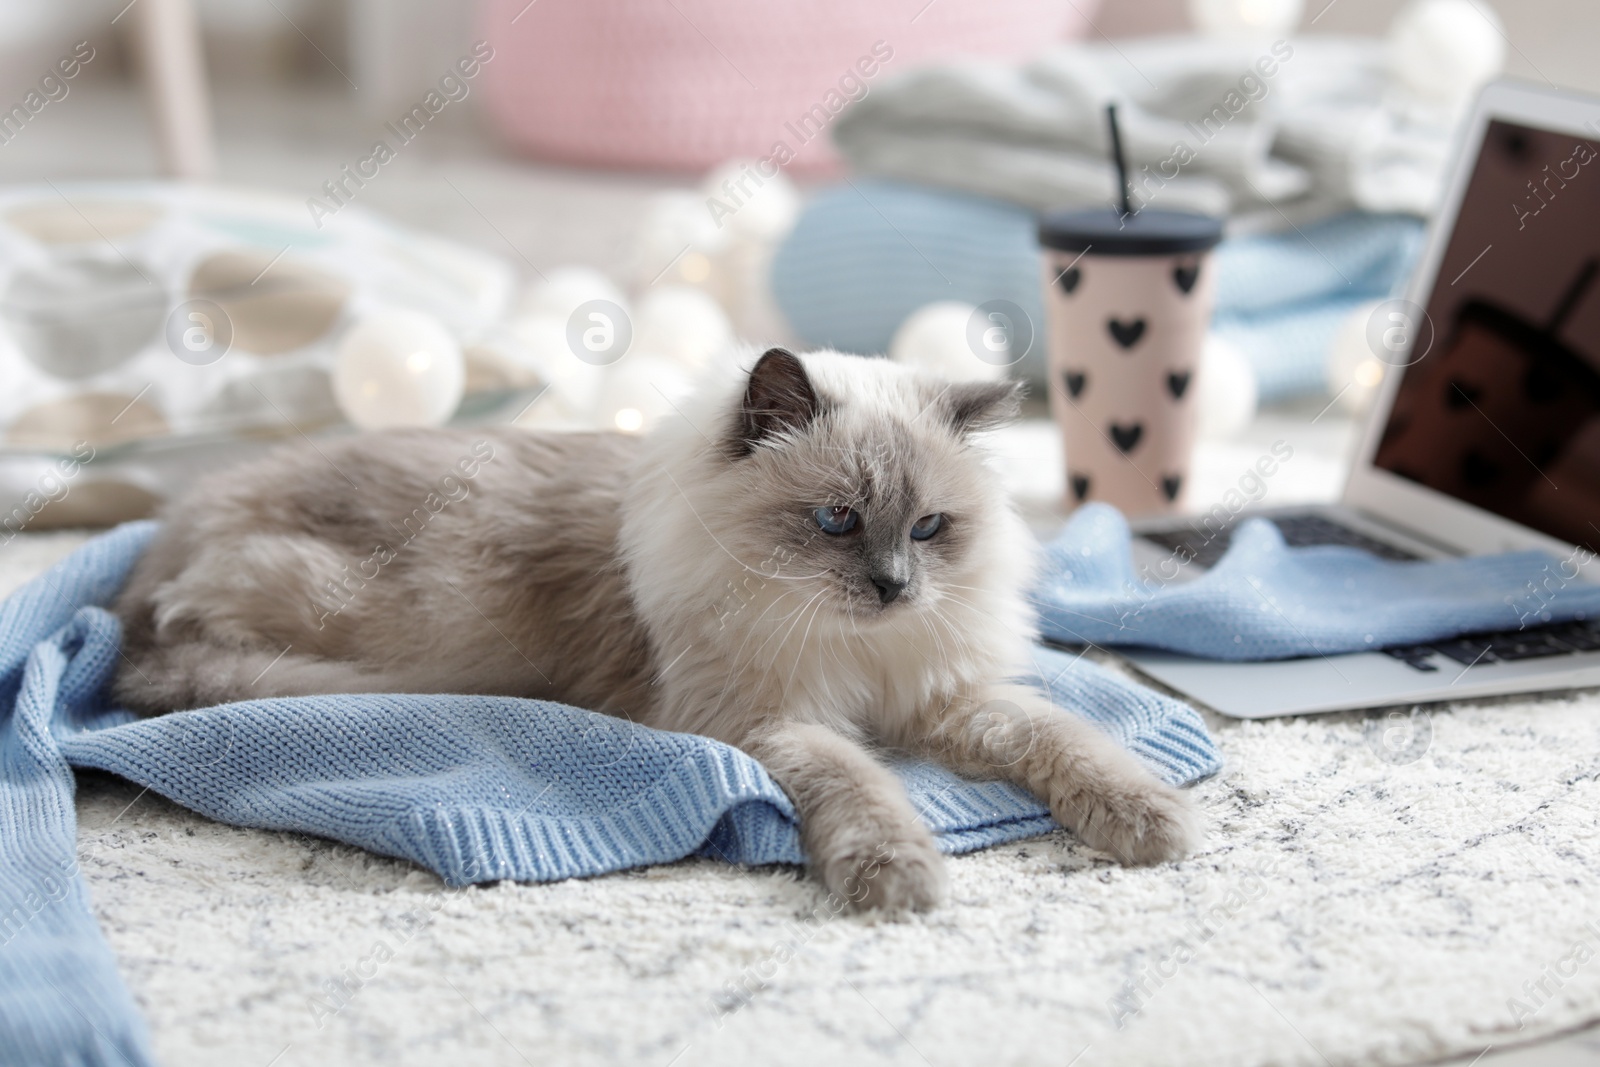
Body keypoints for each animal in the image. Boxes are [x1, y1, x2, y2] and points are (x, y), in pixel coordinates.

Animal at [116, 348, 1203, 908]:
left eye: (929, 527)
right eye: (836, 520)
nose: (896, 588)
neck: (847, 645)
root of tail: (166, 539)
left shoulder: (945, 696)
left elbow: (1063, 739)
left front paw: (1150, 825)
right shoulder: (776, 722)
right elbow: (865, 787)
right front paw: (900, 878)